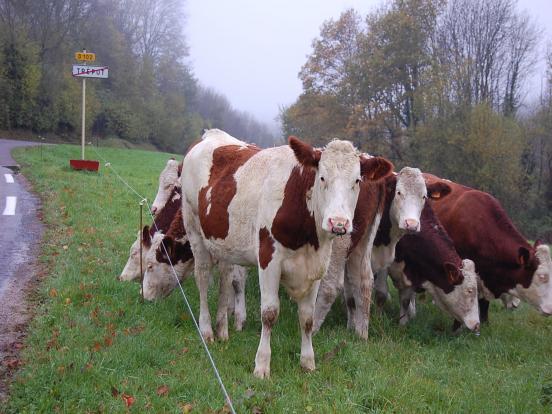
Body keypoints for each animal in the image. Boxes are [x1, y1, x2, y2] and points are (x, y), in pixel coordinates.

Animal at [180, 129, 392, 378]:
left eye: (356, 181)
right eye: (322, 177)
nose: (338, 223)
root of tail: (211, 135)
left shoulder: (317, 264)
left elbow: (307, 317)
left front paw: (308, 361)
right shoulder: (268, 260)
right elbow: (269, 313)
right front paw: (262, 365)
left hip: (224, 242)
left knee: (225, 278)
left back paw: (222, 330)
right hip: (194, 228)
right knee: (203, 277)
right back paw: (206, 331)